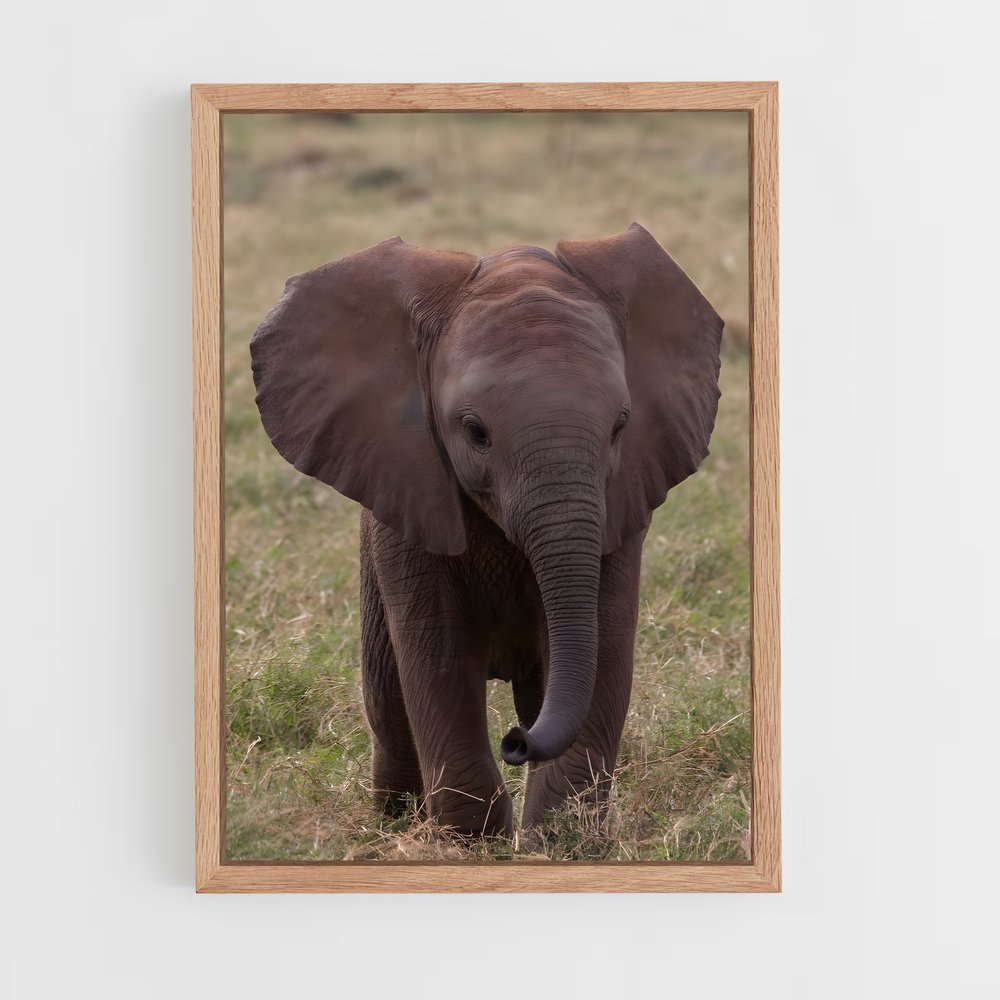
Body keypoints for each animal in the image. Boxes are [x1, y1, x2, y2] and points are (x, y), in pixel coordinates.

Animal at [250, 222, 723, 838]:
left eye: (621, 427)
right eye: (475, 432)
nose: (515, 744)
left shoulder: (622, 504)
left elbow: (605, 643)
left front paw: (560, 839)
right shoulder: (408, 497)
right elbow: (438, 655)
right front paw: (474, 842)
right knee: (389, 707)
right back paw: (395, 822)